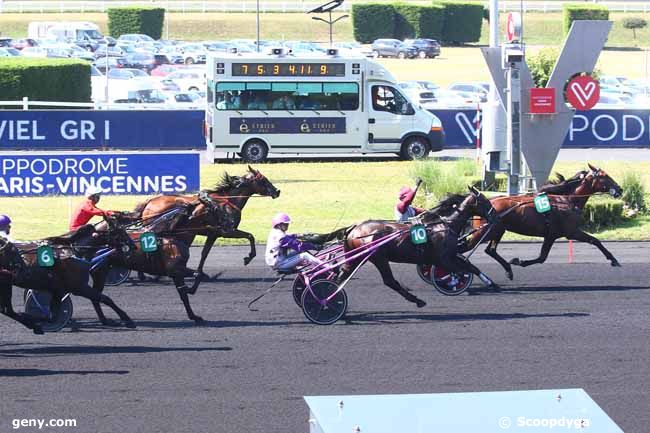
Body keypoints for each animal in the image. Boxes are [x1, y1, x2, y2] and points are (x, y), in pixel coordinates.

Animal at [132, 165, 278, 276]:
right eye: (264, 180)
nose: (277, 191)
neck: (227, 202)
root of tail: (150, 201)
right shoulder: (227, 231)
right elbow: (250, 236)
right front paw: (248, 257)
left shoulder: (213, 234)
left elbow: (204, 253)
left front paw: (200, 272)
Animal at [334, 186, 496, 308]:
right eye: (485, 201)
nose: (495, 216)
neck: (444, 225)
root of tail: (354, 229)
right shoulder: (444, 259)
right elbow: (460, 271)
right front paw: (453, 282)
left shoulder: (448, 256)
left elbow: (471, 267)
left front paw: (491, 282)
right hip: (378, 258)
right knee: (389, 281)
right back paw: (417, 300)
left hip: (357, 258)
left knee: (343, 274)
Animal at [464, 163, 620, 280]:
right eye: (603, 176)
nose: (619, 189)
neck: (566, 200)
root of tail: (486, 203)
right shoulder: (568, 232)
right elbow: (594, 240)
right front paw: (614, 259)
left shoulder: (553, 234)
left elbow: (542, 257)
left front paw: (517, 262)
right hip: (485, 232)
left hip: (497, 231)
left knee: (490, 250)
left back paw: (508, 270)